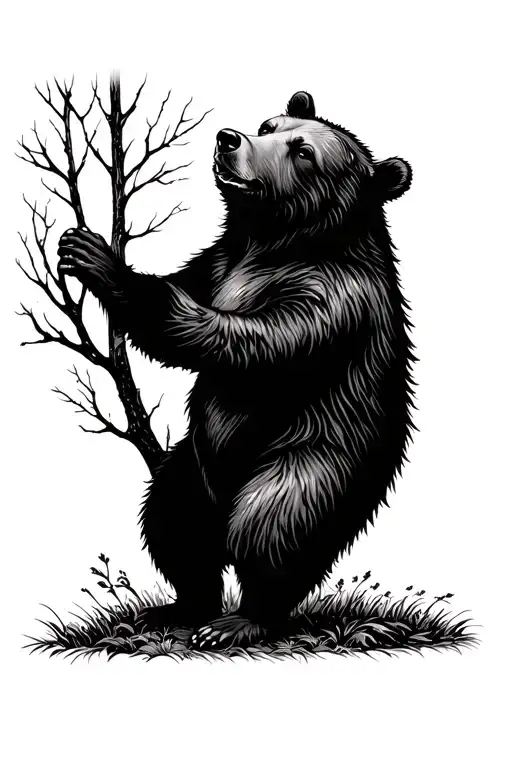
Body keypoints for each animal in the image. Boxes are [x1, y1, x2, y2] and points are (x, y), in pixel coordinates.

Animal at [58, 91, 415, 649]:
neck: (273, 242)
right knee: (171, 522)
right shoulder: (219, 261)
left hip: (313, 463)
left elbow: (242, 343)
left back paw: (241, 619)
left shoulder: (331, 299)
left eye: (303, 151)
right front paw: (77, 248)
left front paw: (103, 263)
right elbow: (187, 282)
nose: (229, 138)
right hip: (191, 470)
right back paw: (182, 605)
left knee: (269, 529)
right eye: (269, 125)